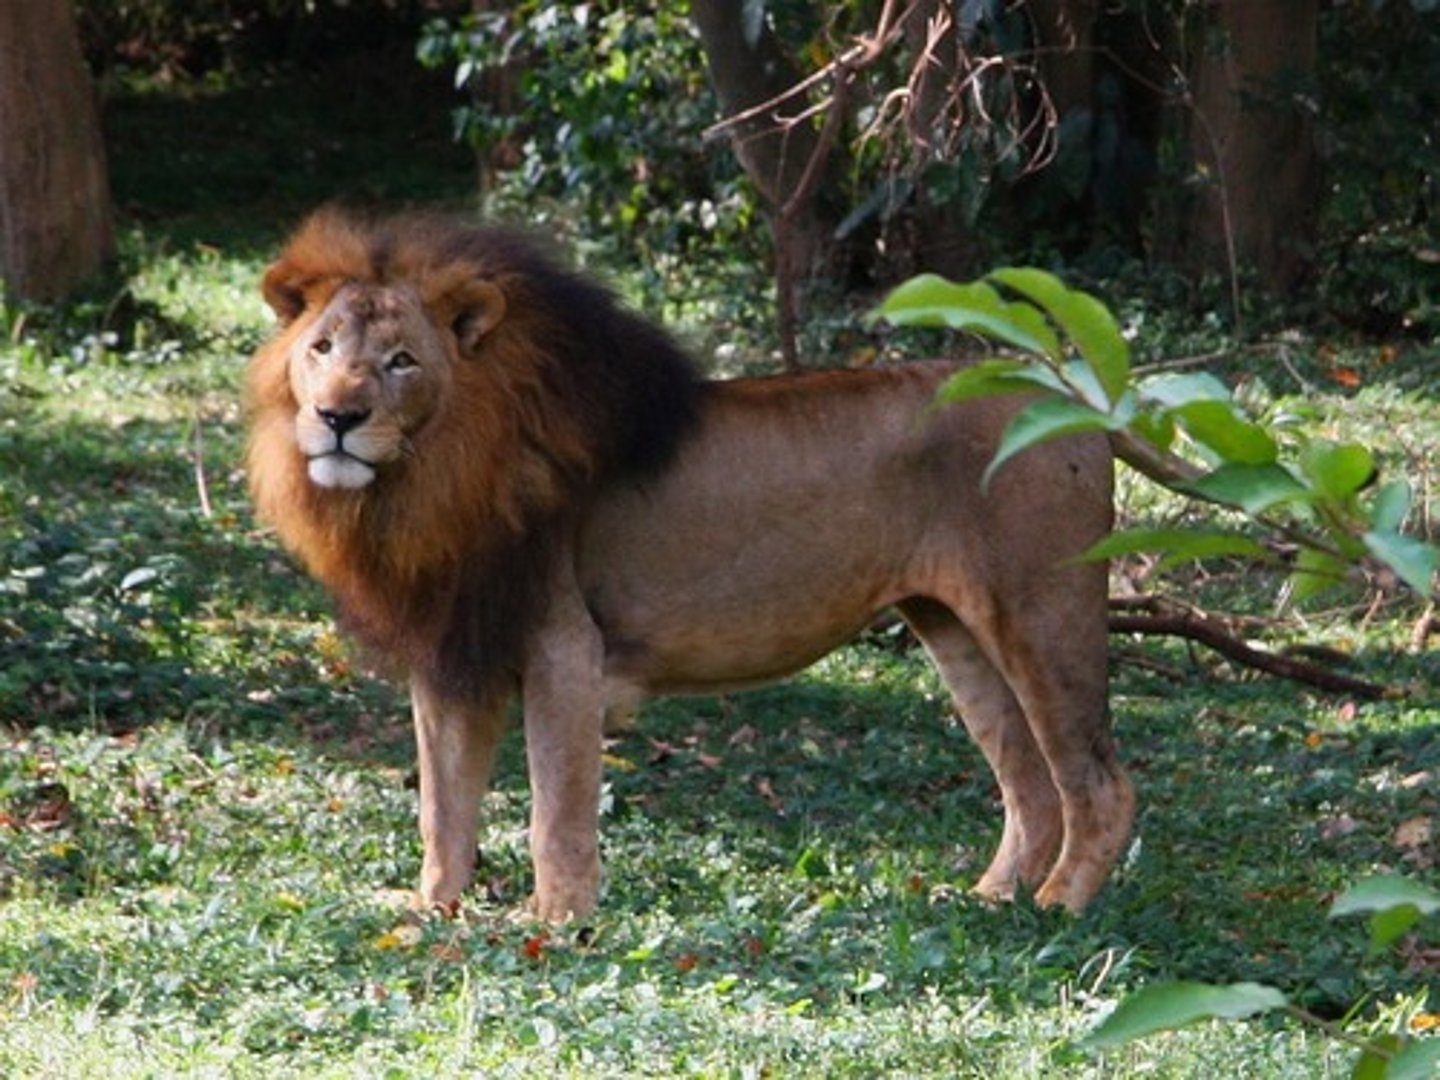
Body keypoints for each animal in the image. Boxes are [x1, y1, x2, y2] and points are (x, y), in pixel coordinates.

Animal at [246, 208, 1134, 922]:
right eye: (320, 348)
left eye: (402, 361)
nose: (337, 416)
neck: (433, 475)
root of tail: (1072, 401)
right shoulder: (452, 653)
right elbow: (442, 804)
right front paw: (432, 910)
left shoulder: (564, 648)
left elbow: (555, 805)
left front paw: (556, 922)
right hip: (953, 629)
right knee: (1030, 786)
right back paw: (991, 900)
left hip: (1042, 616)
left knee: (1099, 785)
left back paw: (1058, 909)